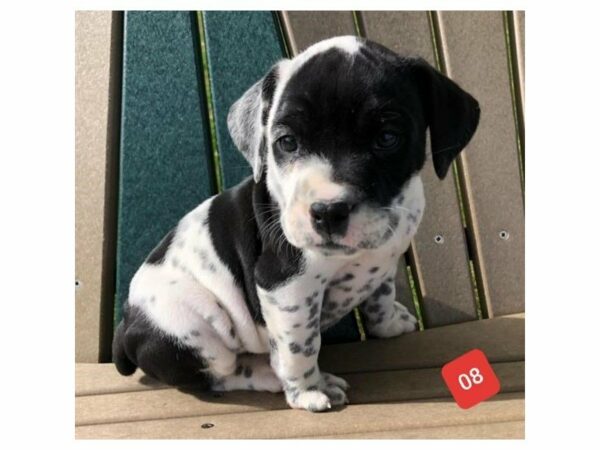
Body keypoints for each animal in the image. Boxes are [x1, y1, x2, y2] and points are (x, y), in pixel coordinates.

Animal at [111, 37, 478, 414]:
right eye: (287, 142)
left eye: (387, 138)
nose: (328, 211)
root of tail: (125, 326)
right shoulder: (286, 285)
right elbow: (299, 347)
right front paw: (308, 392)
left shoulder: (385, 258)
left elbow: (381, 294)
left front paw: (388, 323)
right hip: (193, 325)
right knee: (217, 375)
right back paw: (267, 375)